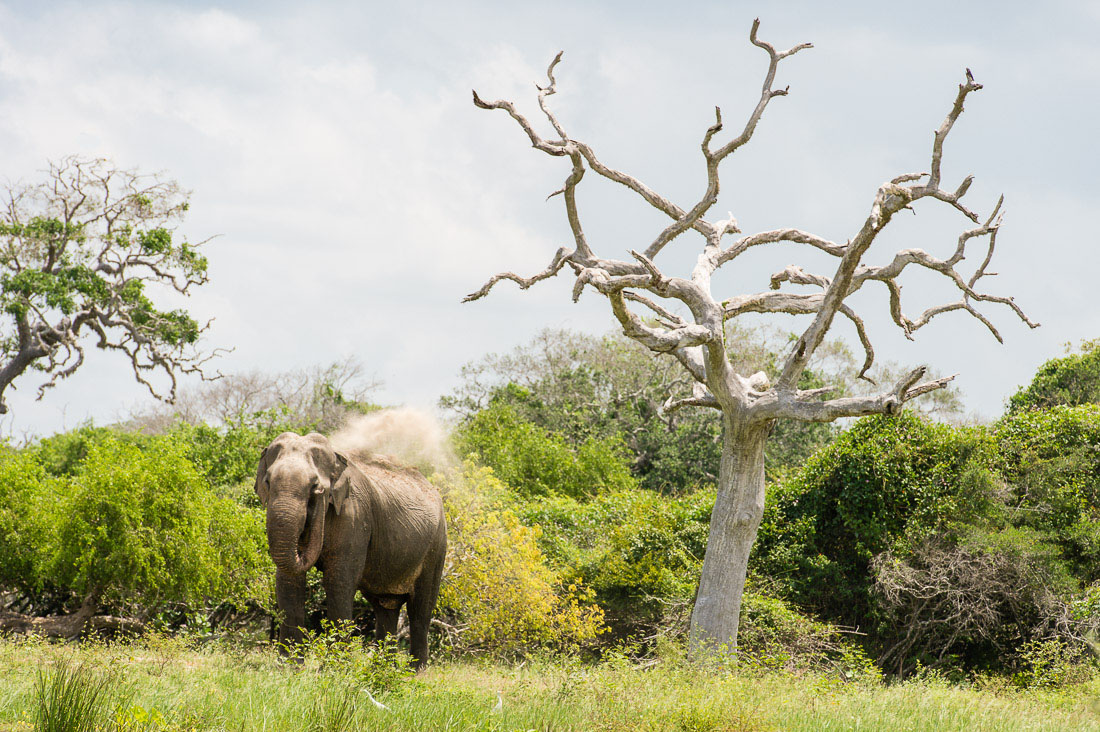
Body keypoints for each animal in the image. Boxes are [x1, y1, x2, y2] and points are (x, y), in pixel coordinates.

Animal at [253, 431, 446, 669]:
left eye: (315, 486)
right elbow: (289, 581)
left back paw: (415, 672)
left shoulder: (354, 516)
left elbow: (339, 581)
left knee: (420, 608)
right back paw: (382, 669)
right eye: (268, 482)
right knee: (385, 608)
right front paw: (290, 668)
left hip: (437, 545)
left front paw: (334, 668)